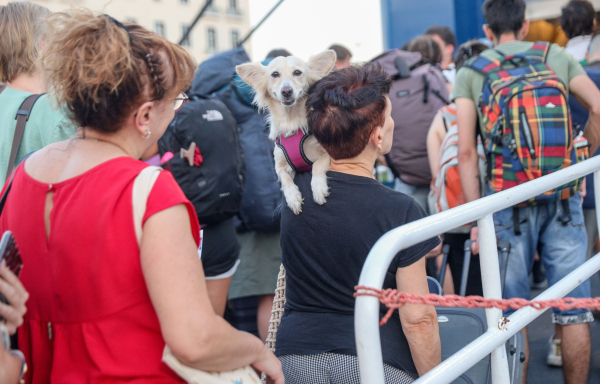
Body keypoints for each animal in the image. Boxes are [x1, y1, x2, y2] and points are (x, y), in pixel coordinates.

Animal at [236, 49, 338, 214]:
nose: (286, 91)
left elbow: (318, 164)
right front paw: (292, 197)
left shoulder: (329, 152)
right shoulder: (280, 164)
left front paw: (318, 187)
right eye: (275, 74)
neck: (291, 121)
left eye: (297, 72)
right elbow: (284, 178)